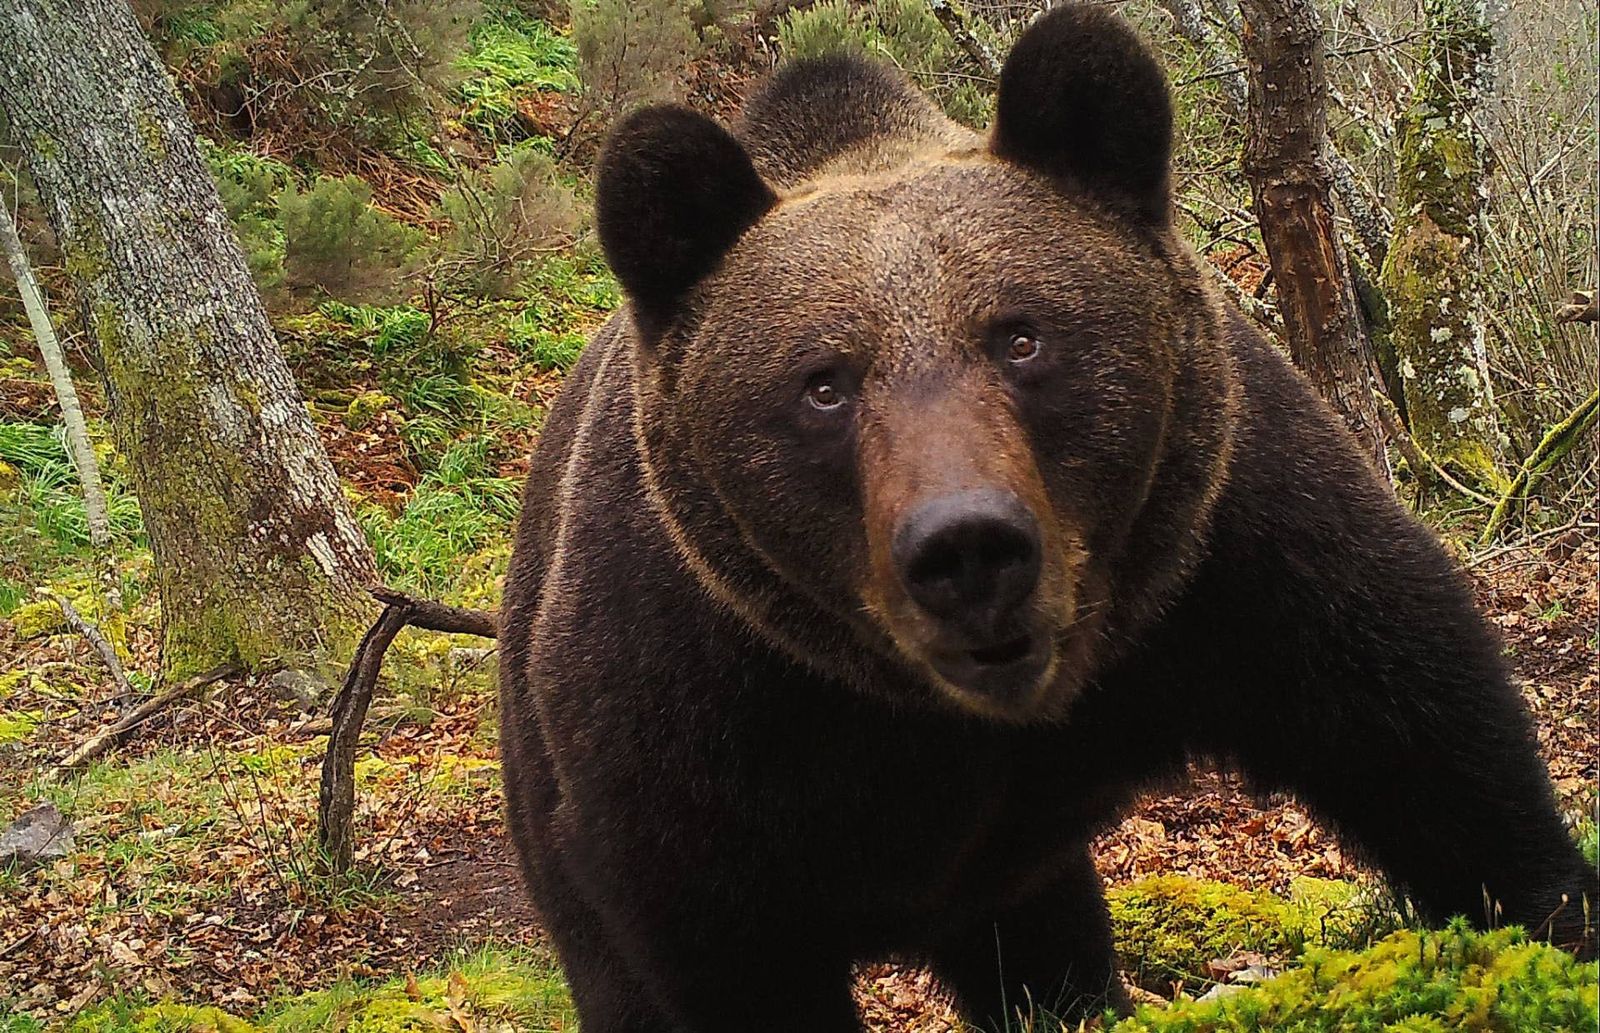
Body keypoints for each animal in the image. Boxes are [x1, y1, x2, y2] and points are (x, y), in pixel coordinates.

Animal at [497, 8, 1595, 1031]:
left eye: (1020, 335)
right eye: (822, 383)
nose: (967, 549)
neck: (965, 719)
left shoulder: (1223, 552)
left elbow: (1419, 727)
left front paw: (1551, 913)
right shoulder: (698, 709)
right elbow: (716, 943)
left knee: (1044, 944)